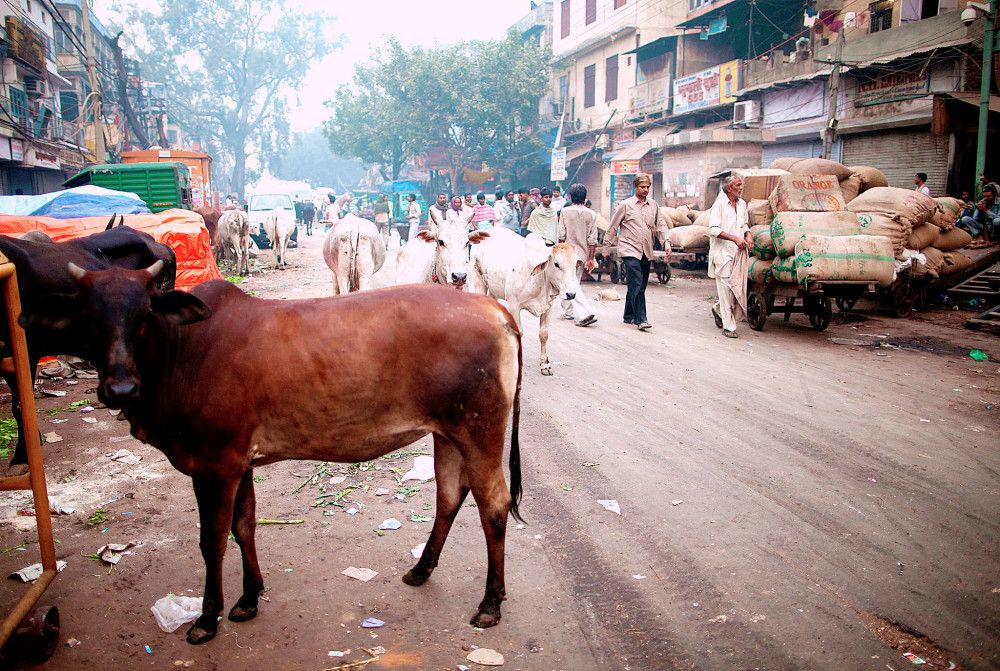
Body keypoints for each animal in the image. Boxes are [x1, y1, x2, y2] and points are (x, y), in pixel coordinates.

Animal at [21, 266, 524, 644]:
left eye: (144, 315)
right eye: (88, 317)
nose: (119, 388)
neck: (182, 352)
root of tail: (494, 307)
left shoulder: (214, 466)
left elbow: (212, 541)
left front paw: (208, 618)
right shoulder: (238, 463)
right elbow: (244, 527)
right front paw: (248, 599)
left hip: (479, 431)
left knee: (494, 506)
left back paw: (490, 603)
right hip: (448, 434)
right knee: (450, 497)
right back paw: (421, 570)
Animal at [468, 230, 584, 378]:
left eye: (575, 264)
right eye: (556, 264)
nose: (571, 294)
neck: (540, 280)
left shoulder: (549, 307)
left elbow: (544, 334)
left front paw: (545, 365)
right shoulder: (513, 304)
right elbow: (519, 331)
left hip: (493, 288)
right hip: (479, 281)